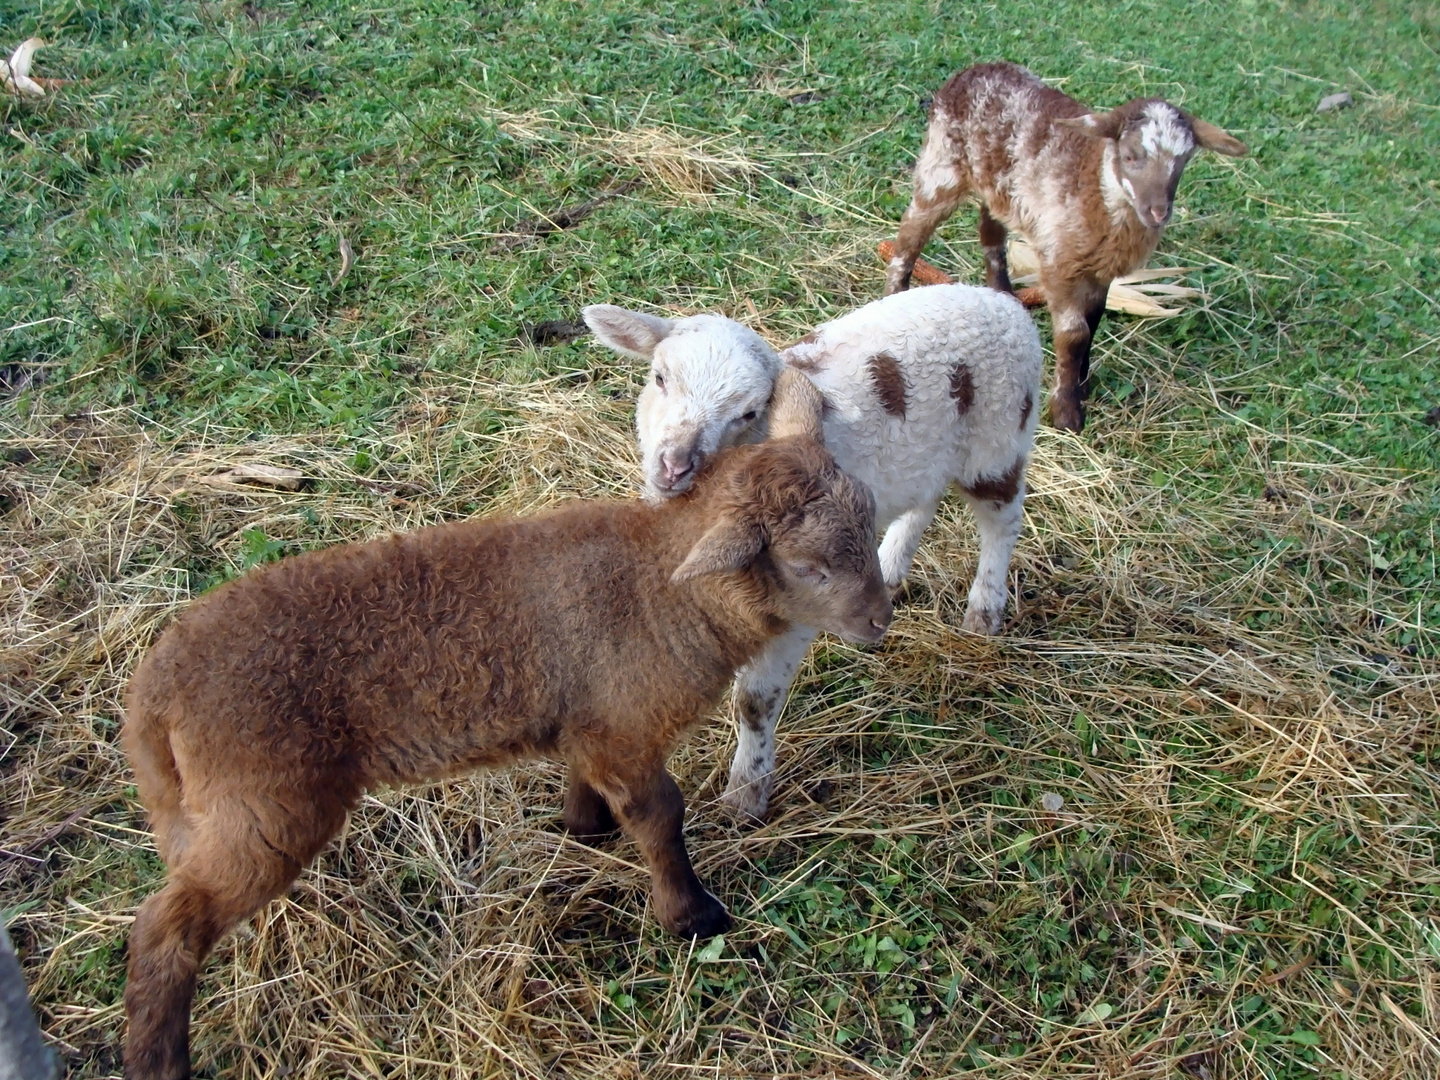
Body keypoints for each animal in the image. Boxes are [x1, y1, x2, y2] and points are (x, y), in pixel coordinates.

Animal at [578, 285, 1042, 817]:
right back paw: (889, 569)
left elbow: (755, 701)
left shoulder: (795, 595)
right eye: (659, 378)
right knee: (924, 500)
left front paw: (745, 794)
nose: (674, 465)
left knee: (1002, 521)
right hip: (932, 453)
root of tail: (1000, 300)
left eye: (748, 413)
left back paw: (984, 612)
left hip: (1000, 436)